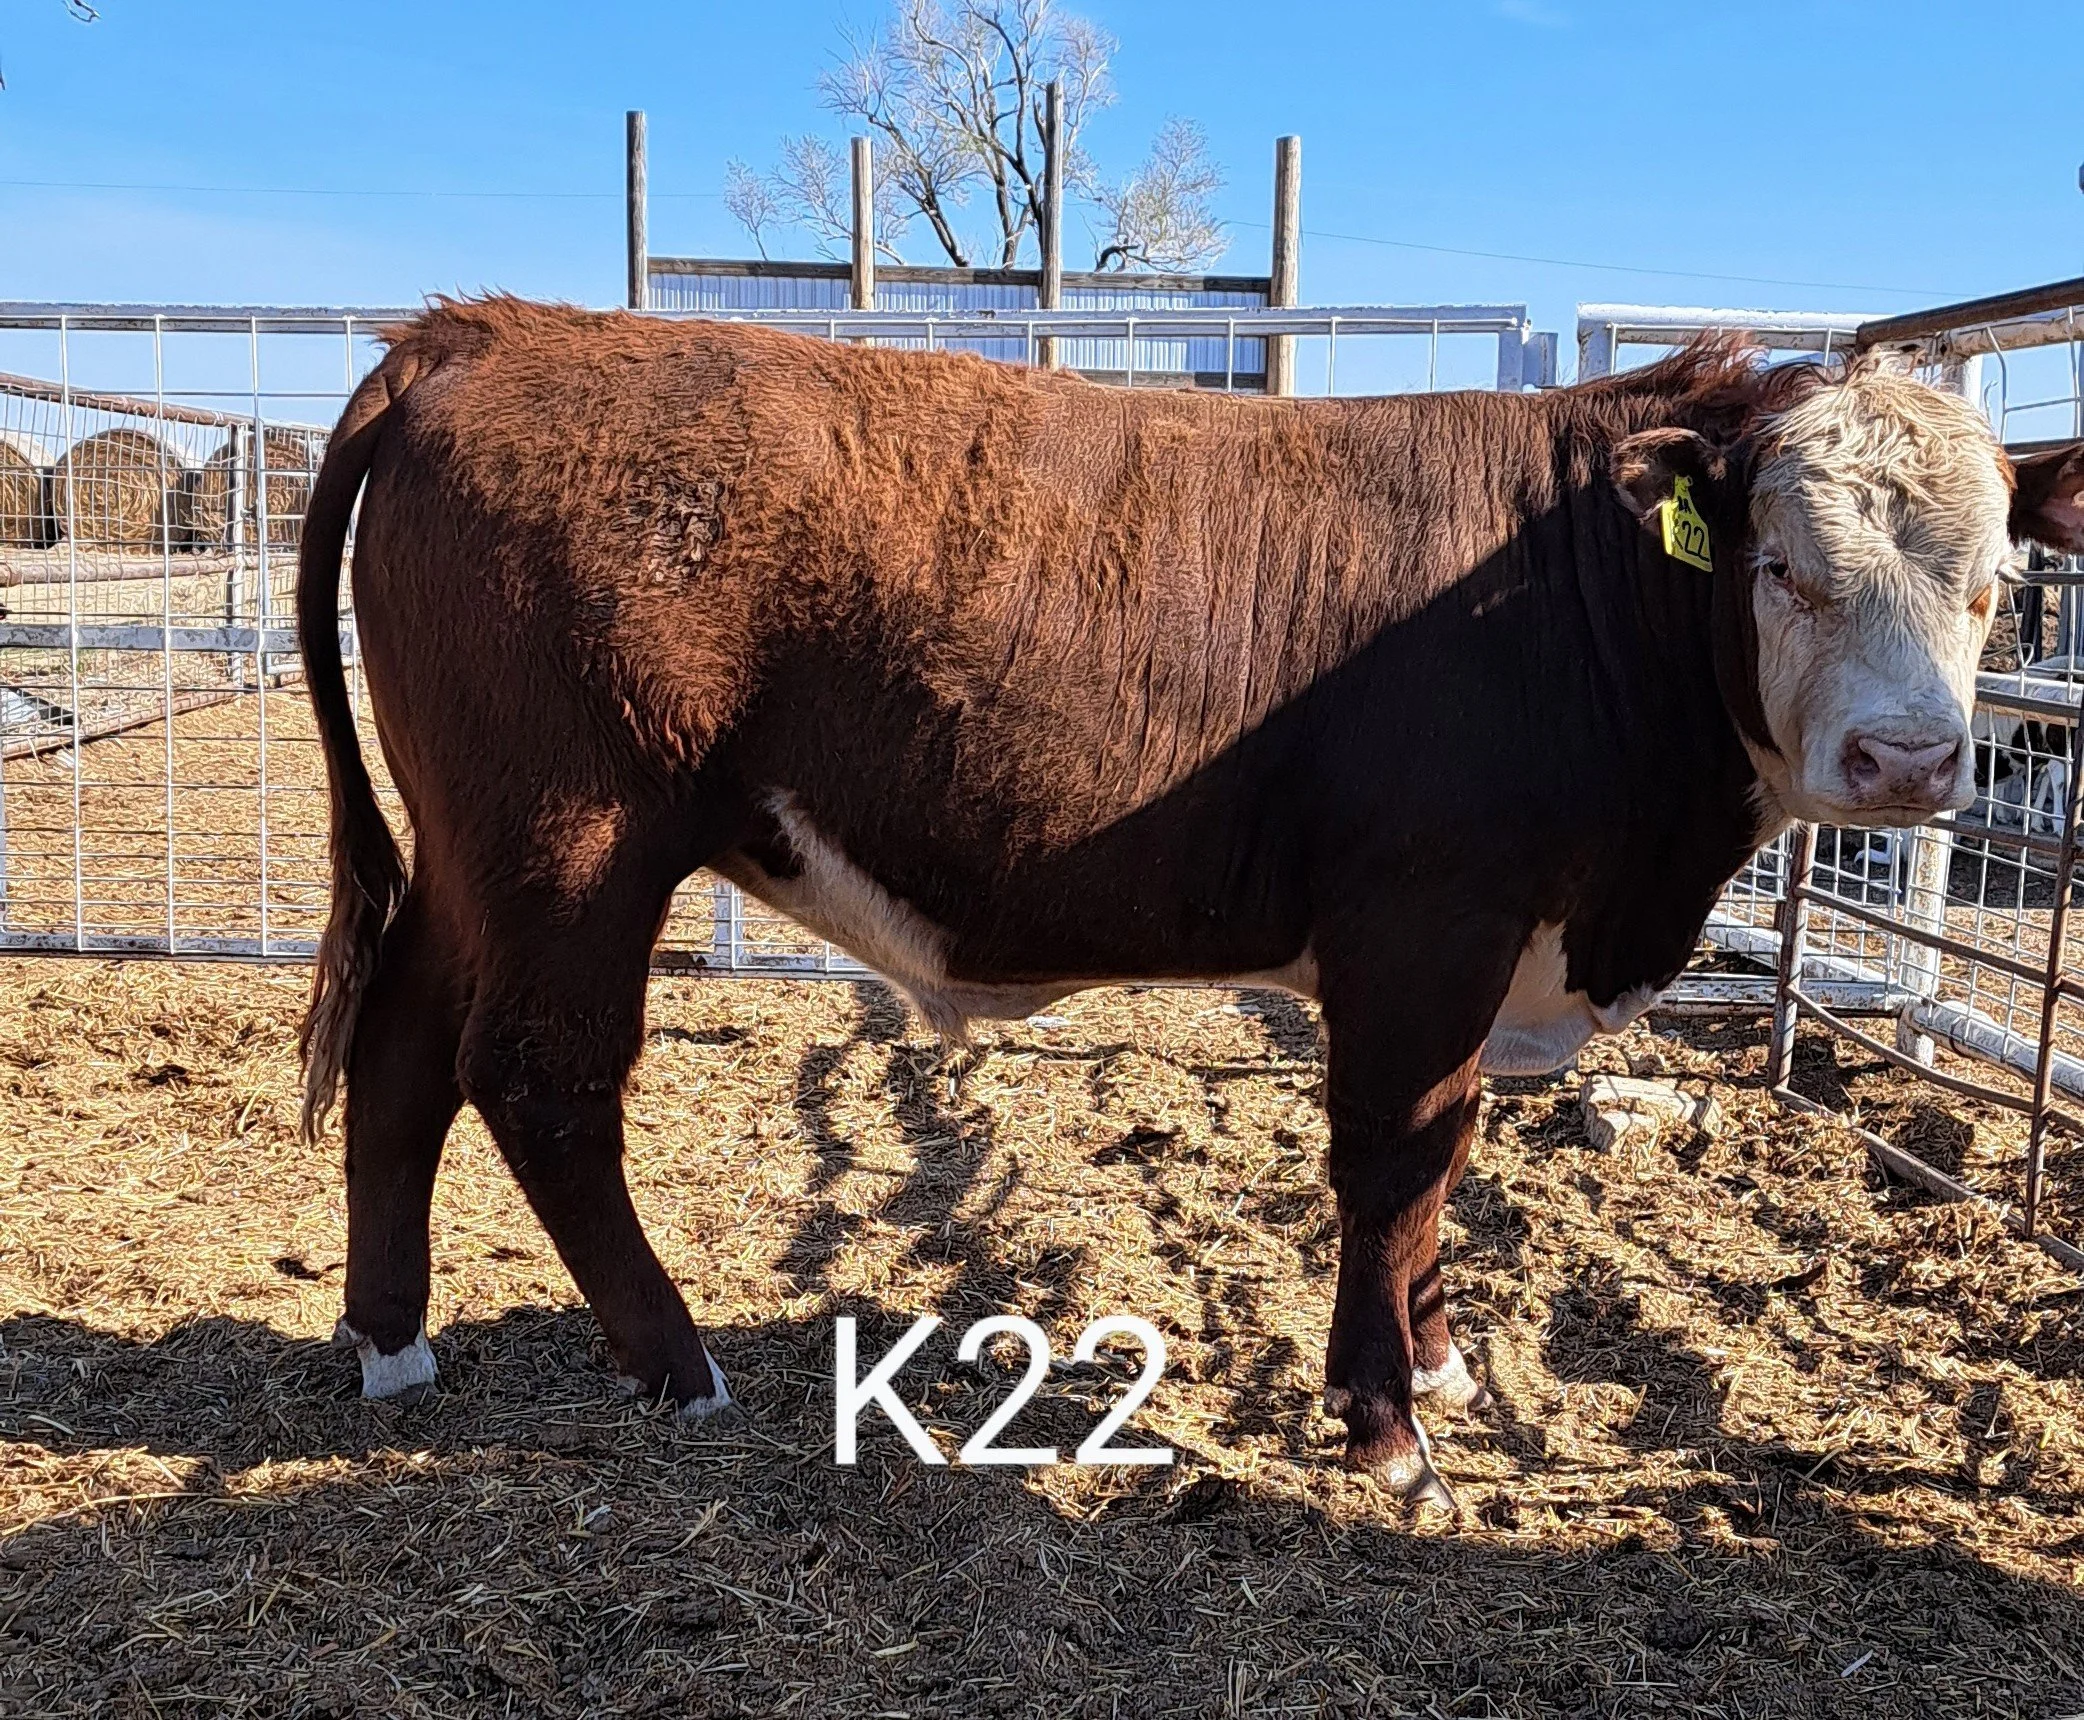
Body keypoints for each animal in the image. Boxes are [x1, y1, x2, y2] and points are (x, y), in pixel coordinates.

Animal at [295, 298, 2084, 1503]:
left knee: (400, 1060)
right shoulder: (1421, 925)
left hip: (472, 856)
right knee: (541, 1083)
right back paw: (680, 1364)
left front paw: (1436, 1357)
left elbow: (1447, 1158)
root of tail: (479, 332)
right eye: (1782, 564)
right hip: (574, 844)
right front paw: (1387, 1426)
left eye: (1998, 580)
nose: (1912, 758)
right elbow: (1394, 1159)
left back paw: (393, 1345)